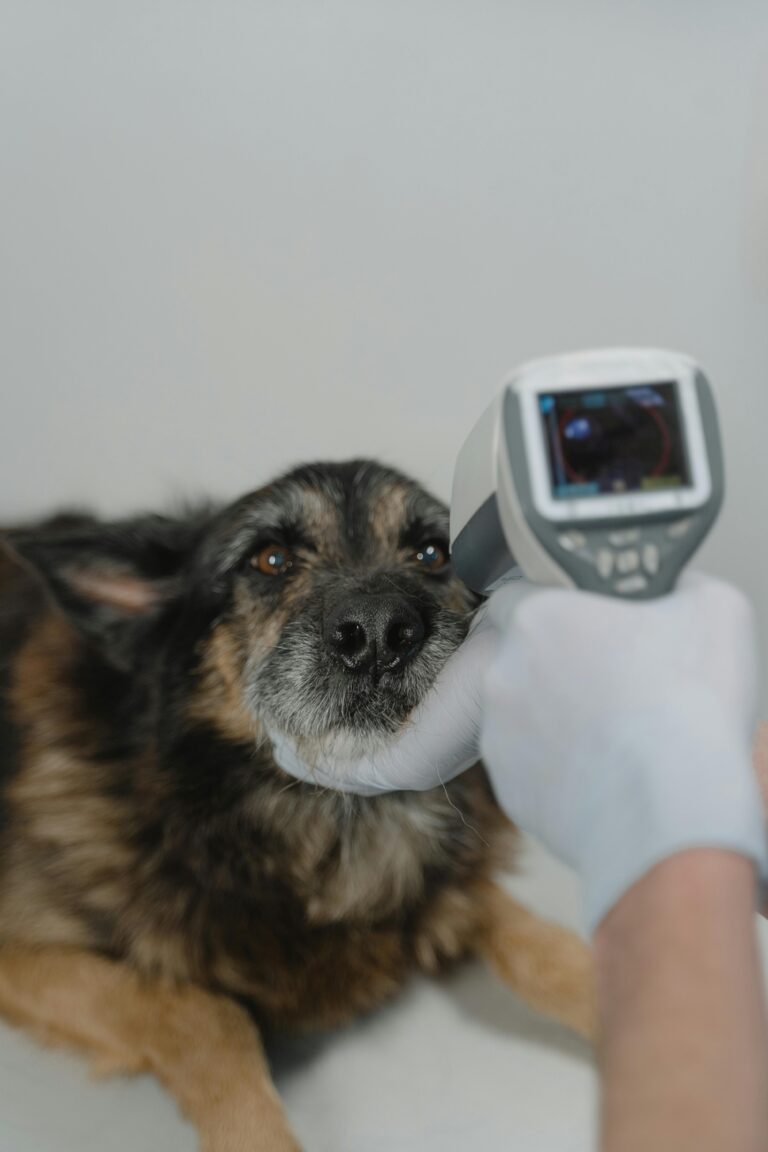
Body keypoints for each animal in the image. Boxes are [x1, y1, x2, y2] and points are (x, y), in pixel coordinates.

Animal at [0, 460, 594, 1152]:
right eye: (270, 558)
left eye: (433, 553)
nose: (378, 634)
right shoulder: (21, 953)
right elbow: (208, 1014)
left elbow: (540, 942)